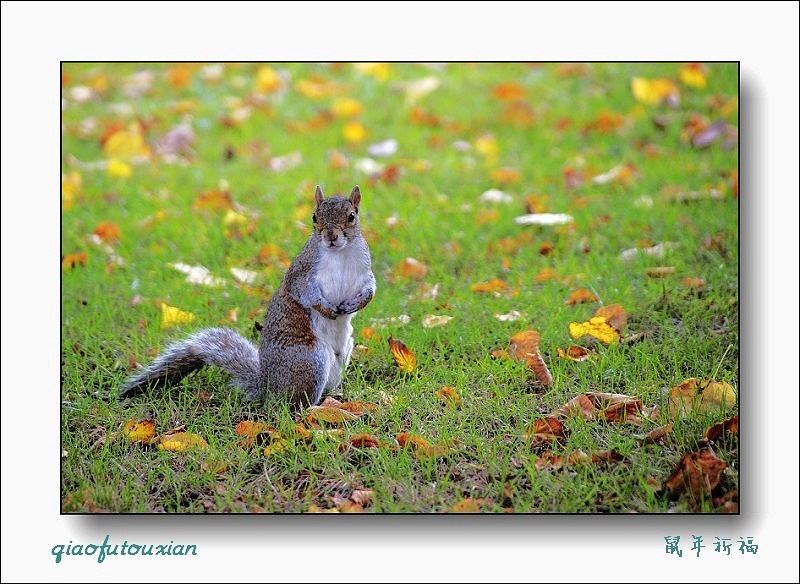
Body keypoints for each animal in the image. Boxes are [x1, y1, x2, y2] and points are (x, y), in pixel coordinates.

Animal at [120, 185, 376, 408]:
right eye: (314, 217)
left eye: (351, 216)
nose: (330, 235)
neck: (340, 253)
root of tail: (267, 387)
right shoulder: (302, 273)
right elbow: (304, 292)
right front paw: (325, 308)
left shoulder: (365, 271)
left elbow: (371, 288)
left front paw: (357, 303)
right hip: (309, 361)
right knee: (292, 404)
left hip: (342, 356)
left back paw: (339, 396)